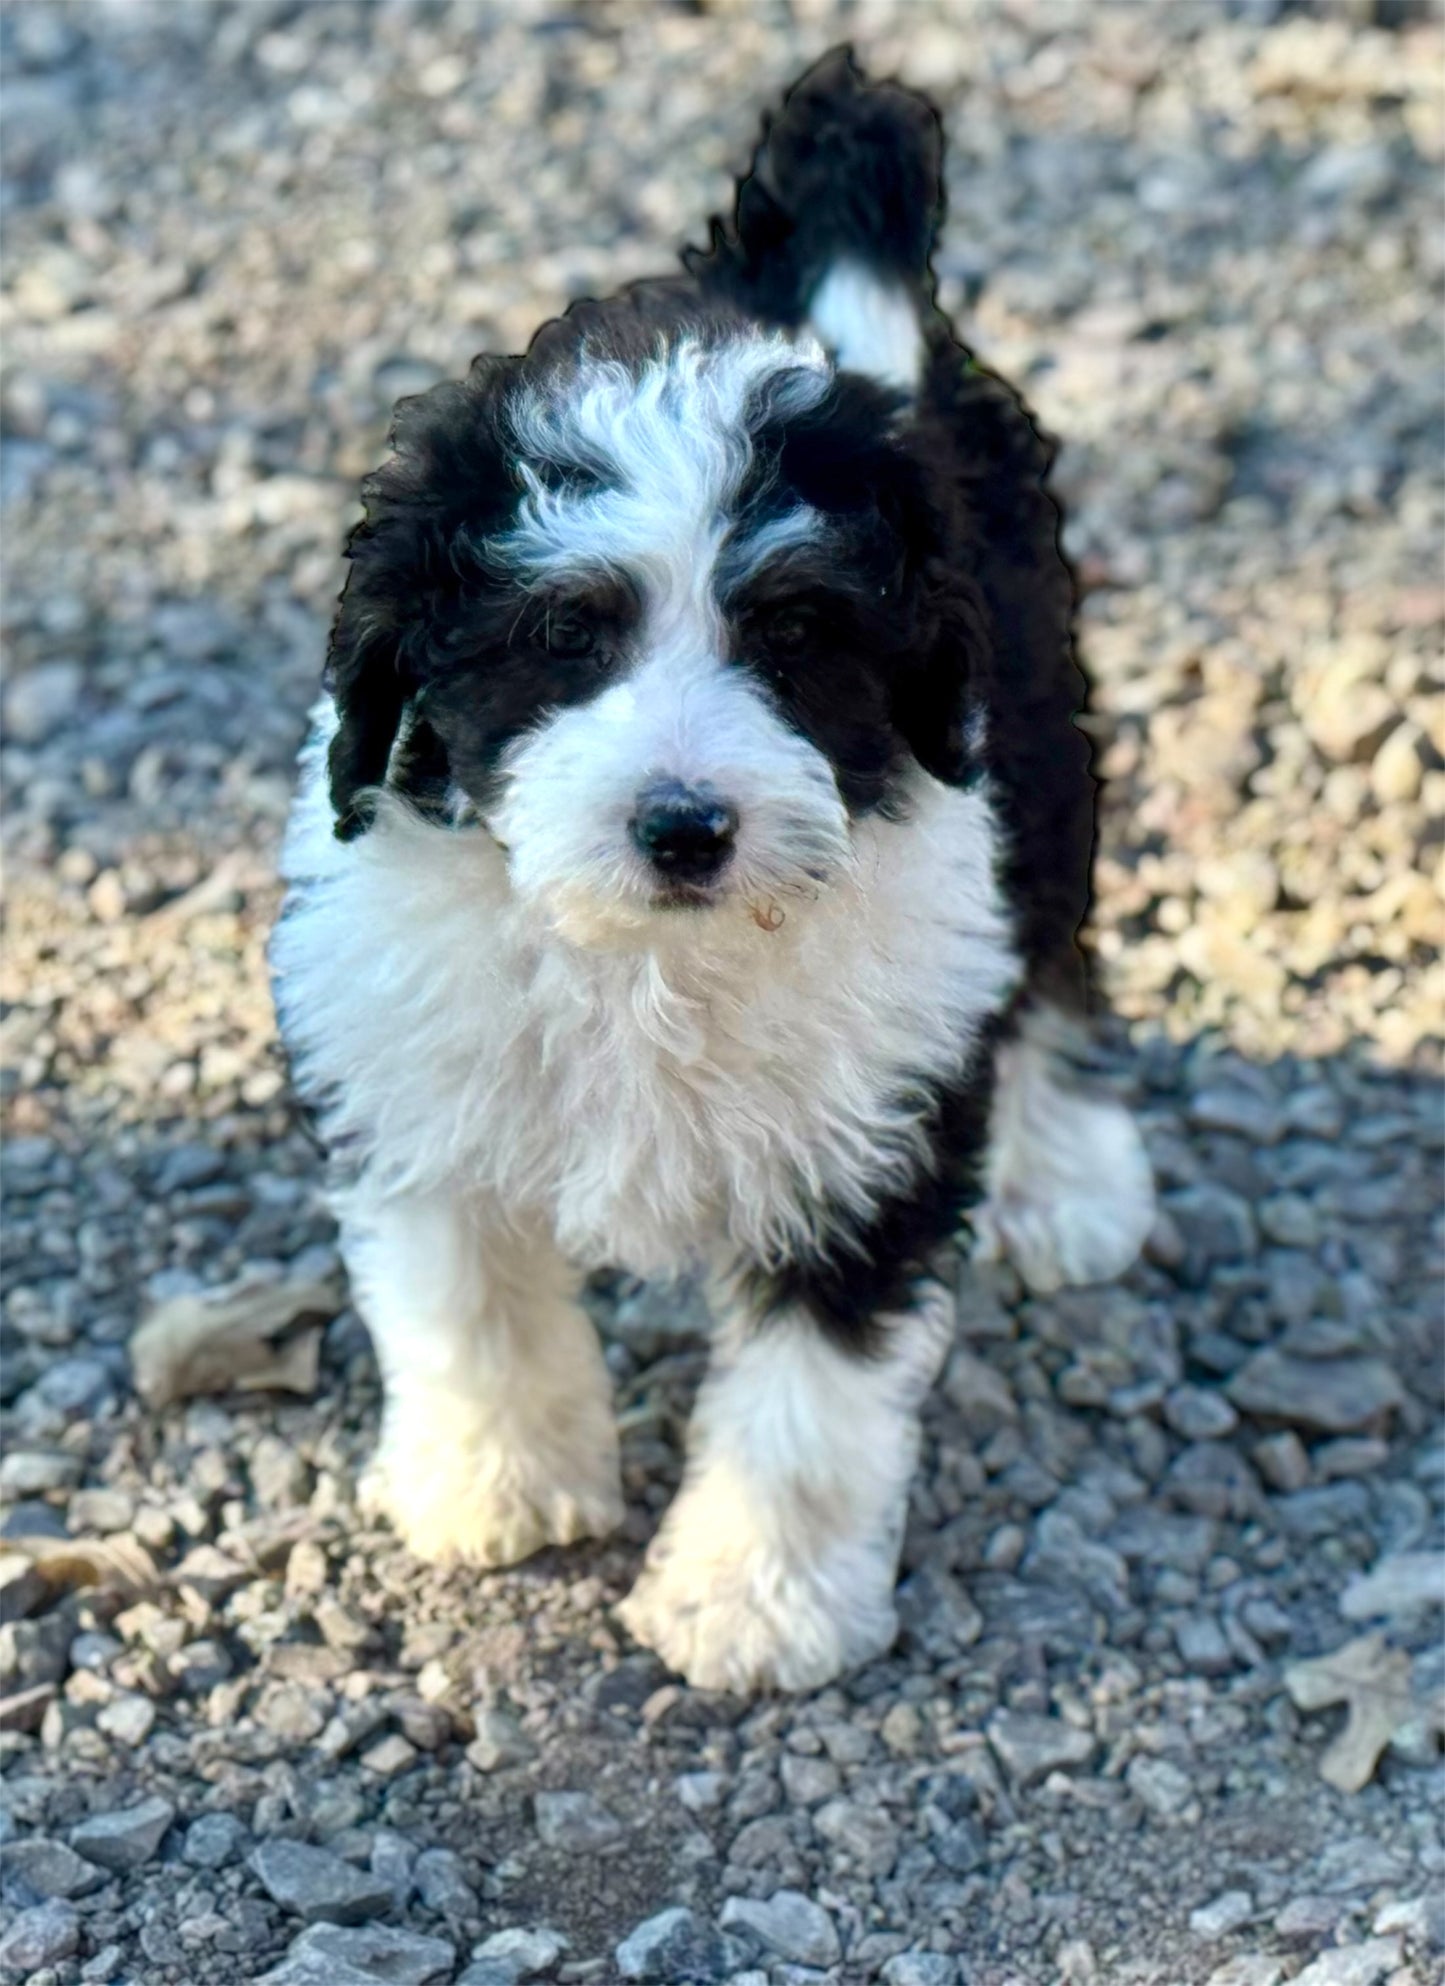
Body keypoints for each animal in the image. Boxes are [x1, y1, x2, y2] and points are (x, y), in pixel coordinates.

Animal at [269, 46, 1151, 1692]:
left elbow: (810, 1403)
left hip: (1036, 729)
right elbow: (467, 1311)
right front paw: (499, 1485)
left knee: (1050, 955)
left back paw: (1069, 1175)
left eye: (794, 634)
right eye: (565, 633)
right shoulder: (415, 1082)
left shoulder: (870, 1139)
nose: (683, 825)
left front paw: (754, 1602)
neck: (651, 956)